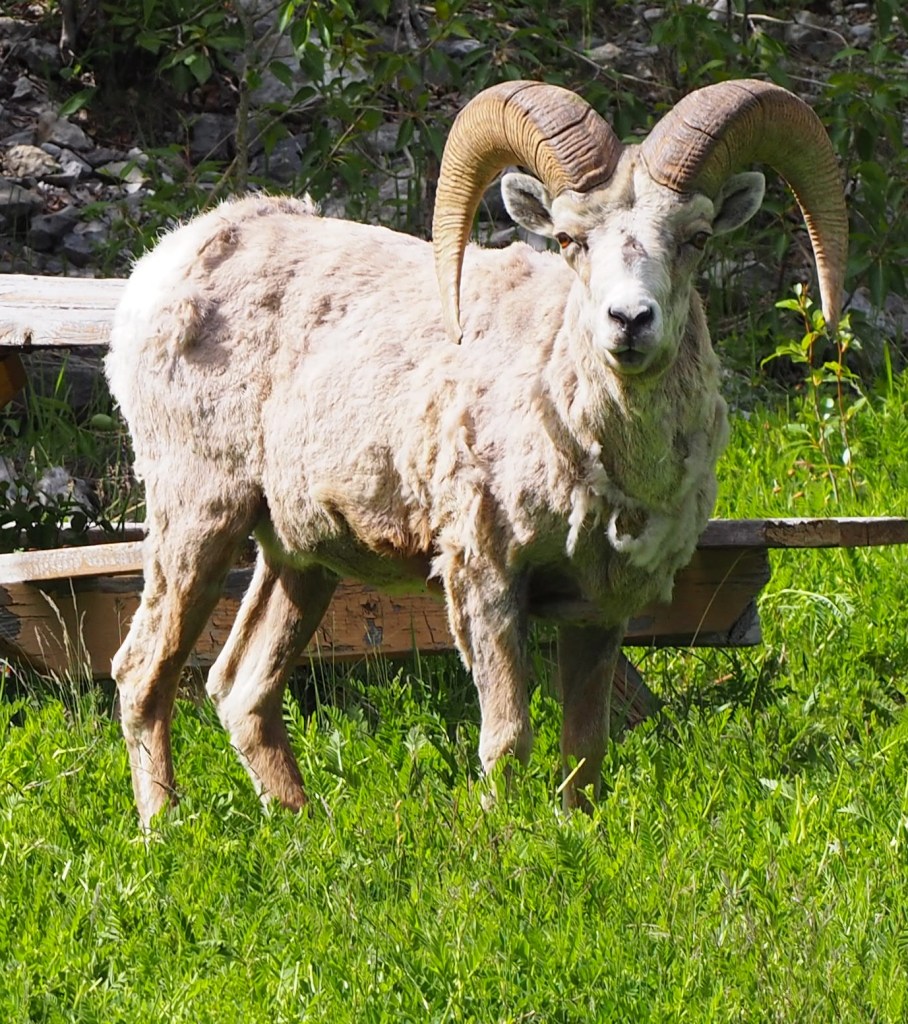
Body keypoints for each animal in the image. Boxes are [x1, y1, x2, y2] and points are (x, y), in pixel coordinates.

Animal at [105, 79, 847, 826]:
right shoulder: (485, 577)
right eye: (569, 238)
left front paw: (575, 830)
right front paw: (501, 834)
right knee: (142, 673)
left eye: (695, 239)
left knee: (241, 687)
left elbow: (586, 746)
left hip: (297, 555)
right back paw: (163, 826)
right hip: (197, 518)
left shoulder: (600, 607)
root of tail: (165, 264)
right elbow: (508, 739)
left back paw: (302, 821)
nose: (630, 321)